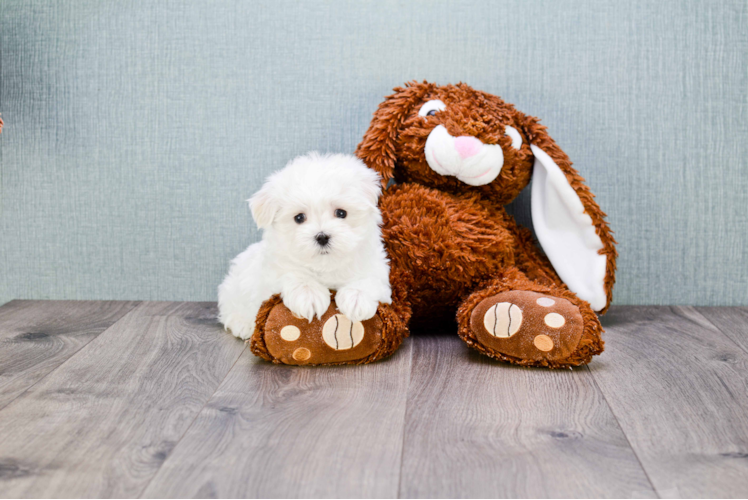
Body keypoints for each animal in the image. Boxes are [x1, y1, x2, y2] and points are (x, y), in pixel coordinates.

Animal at [216, 152, 392, 340]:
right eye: (299, 217)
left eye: (341, 213)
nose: (322, 237)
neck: (326, 265)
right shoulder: (276, 269)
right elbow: (295, 274)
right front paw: (310, 295)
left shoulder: (376, 267)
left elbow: (368, 279)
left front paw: (357, 298)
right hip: (233, 290)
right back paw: (243, 324)